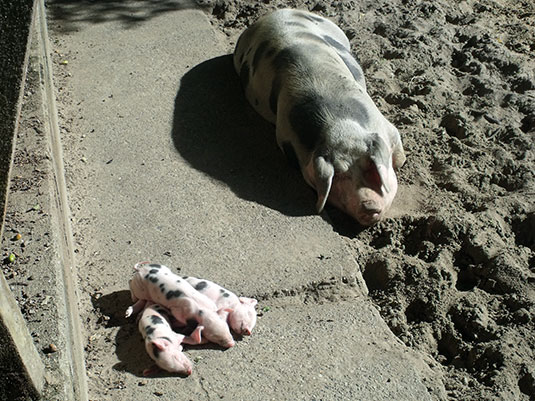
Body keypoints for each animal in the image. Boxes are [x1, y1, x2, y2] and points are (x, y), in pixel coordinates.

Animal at [234, 8, 406, 225]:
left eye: (369, 167)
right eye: (339, 178)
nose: (368, 206)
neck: (340, 126)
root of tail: (273, 14)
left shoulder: (390, 129)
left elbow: (400, 158)